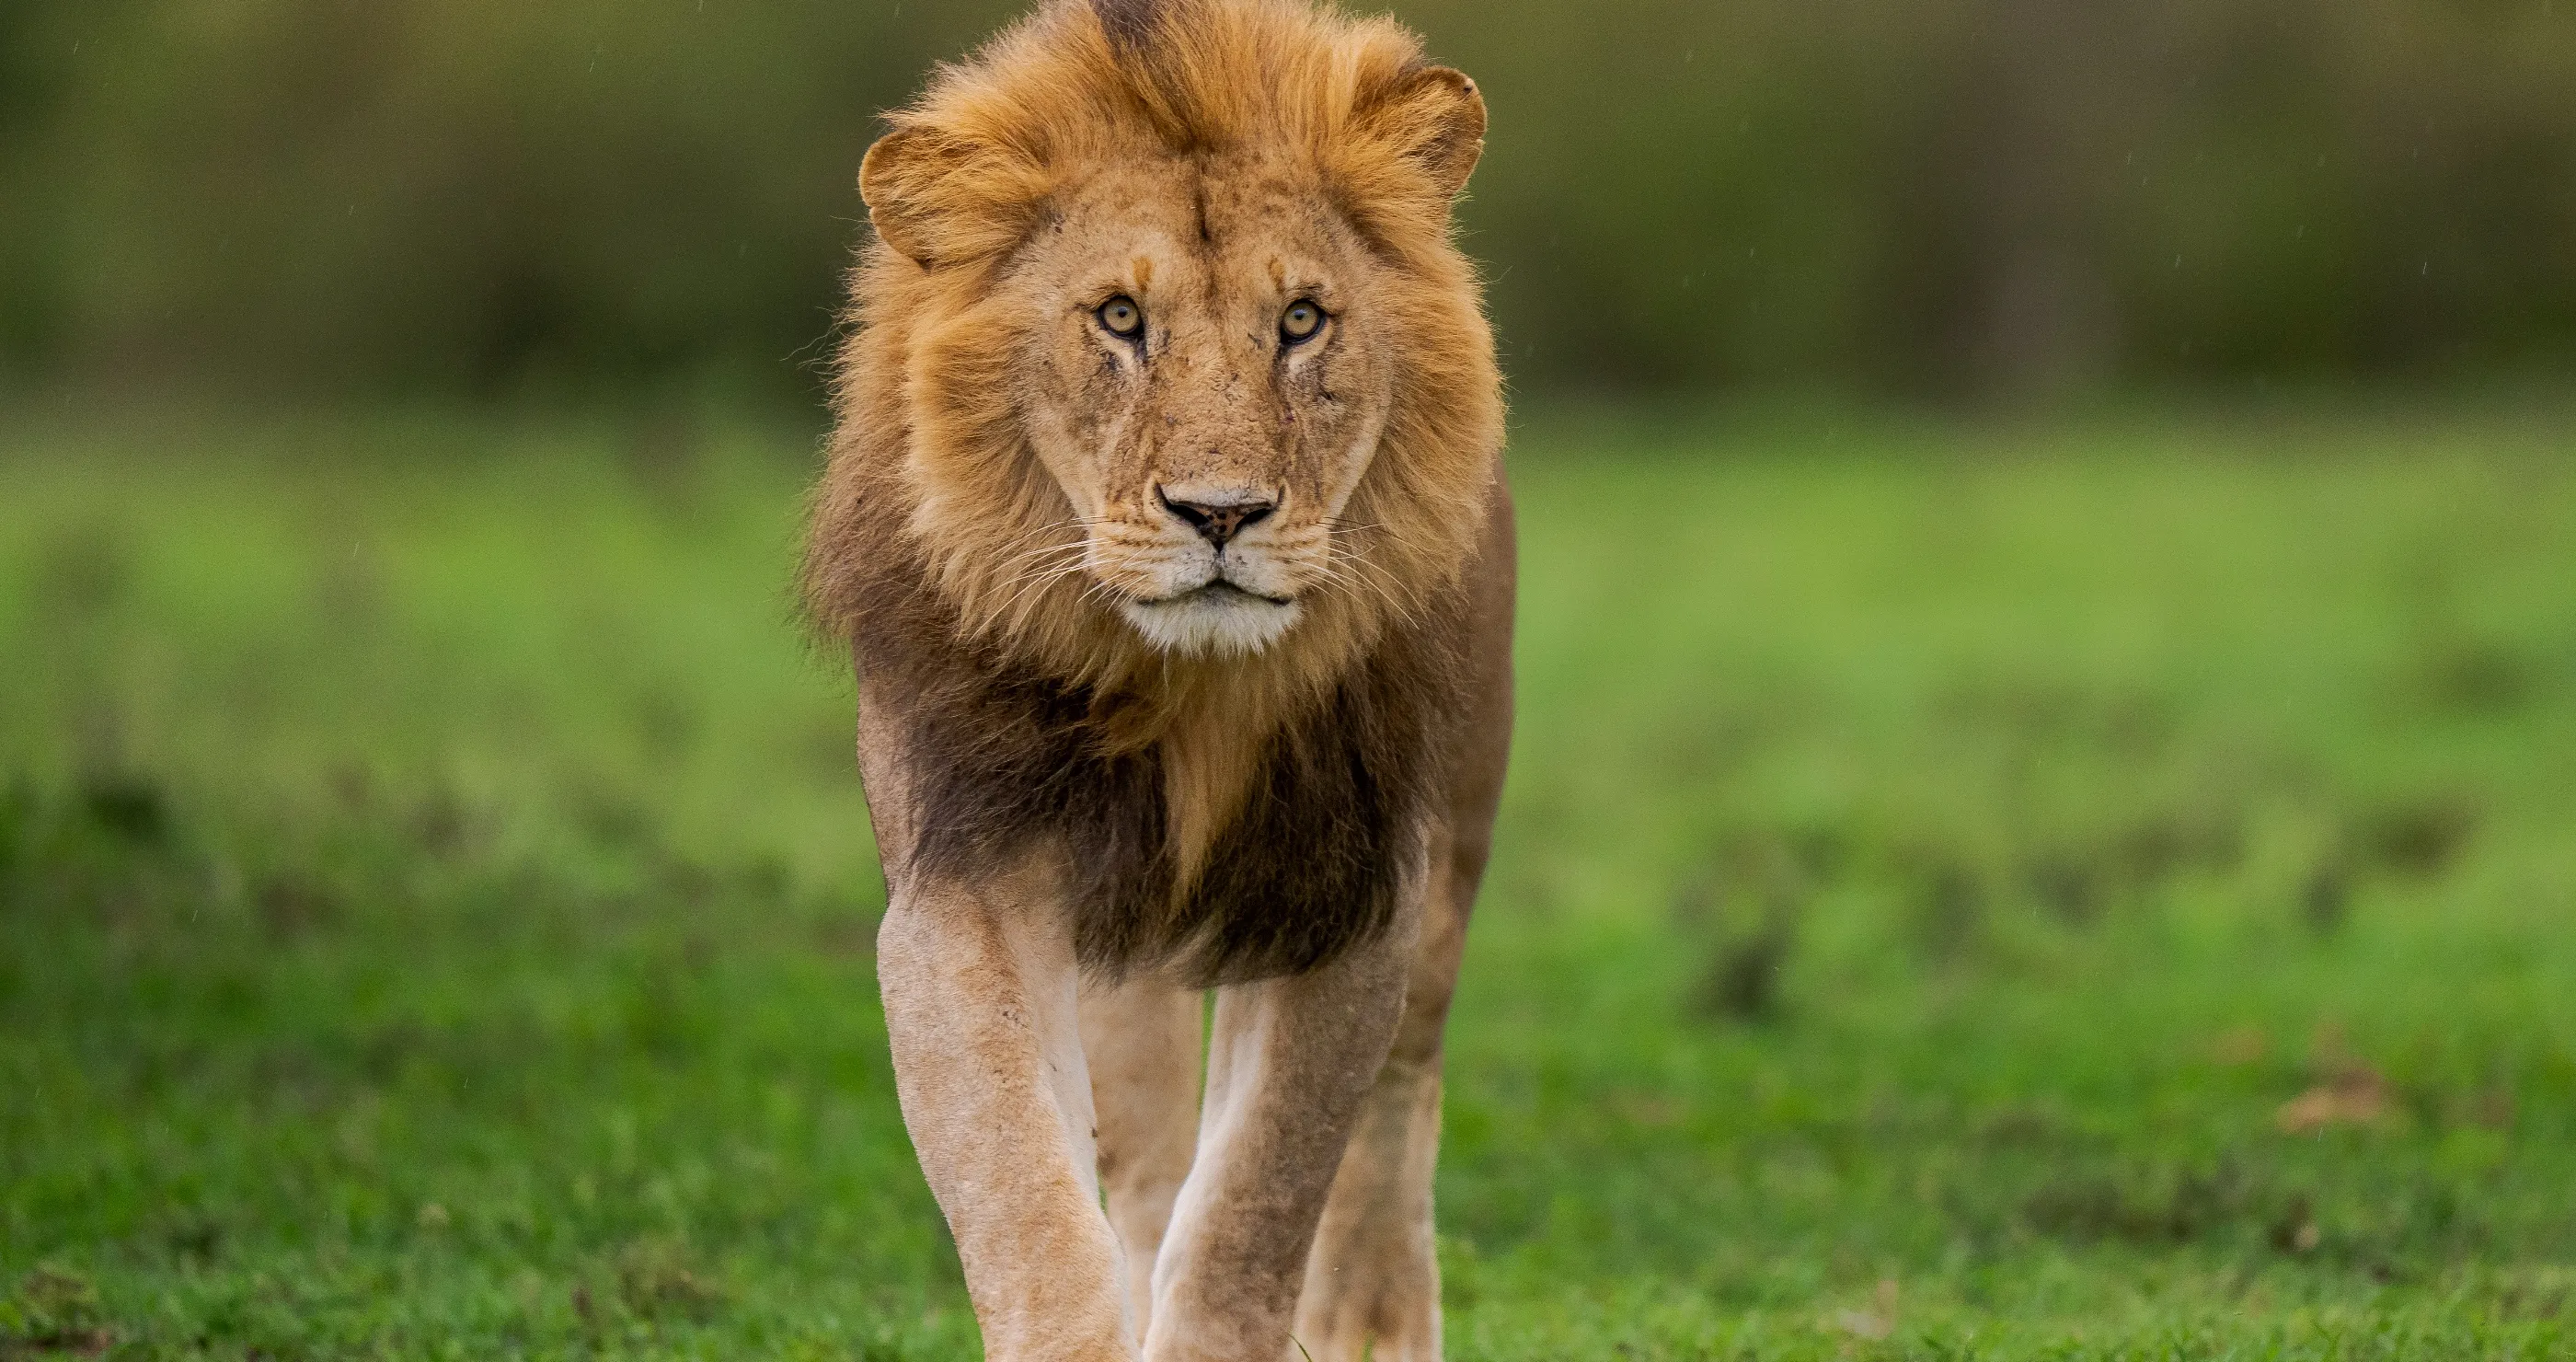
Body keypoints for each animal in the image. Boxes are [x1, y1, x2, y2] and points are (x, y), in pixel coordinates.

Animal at [801, 1, 1510, 1358]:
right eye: (1120, 319)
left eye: (1303, 320)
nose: (1220, 513)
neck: (1189, 695)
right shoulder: (965, 885)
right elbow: (1026, 1197)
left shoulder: (1349, 886)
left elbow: (1254, 1204)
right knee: (1136, 1162)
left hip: (1460, 818)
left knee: (1406, 1084)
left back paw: (1373, 1315)